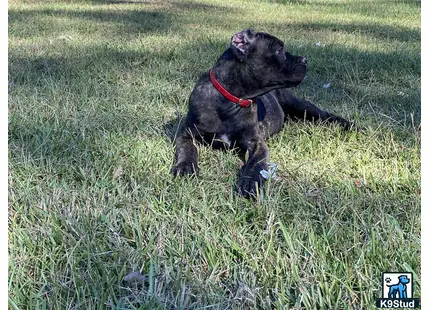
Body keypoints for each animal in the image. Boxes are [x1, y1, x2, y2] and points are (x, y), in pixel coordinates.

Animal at [171, 29, 352, 199]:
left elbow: (256, 162)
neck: (228, 103)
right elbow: (187, 149)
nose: (304, 60)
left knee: (326, 115)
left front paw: (250, 181)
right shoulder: (186, 134)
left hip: (301, 106)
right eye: (279, 50)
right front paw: (185, 167)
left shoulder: (256, 142)